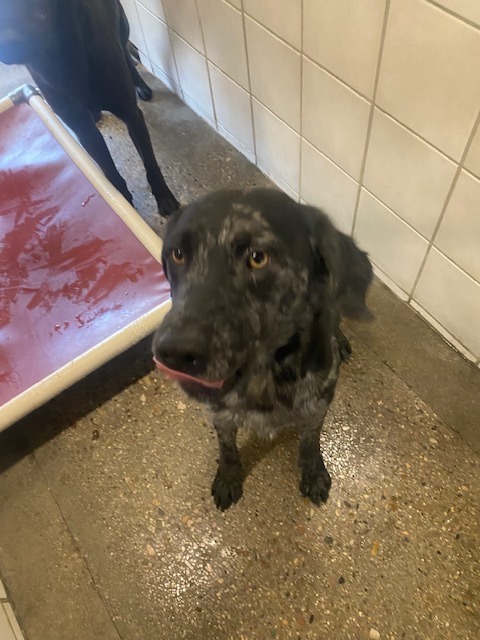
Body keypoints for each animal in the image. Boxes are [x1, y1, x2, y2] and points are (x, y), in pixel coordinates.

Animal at [0, 0, 178, 218]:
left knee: (125, 49)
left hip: (122, 25)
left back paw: (139, 84)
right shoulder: (83, 130)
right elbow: (109, 171)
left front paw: (164, 197)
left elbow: (150, 163)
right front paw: (122, 205)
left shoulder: (132, 116)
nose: (7, 45)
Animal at [152, 189, 374, 510]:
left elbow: (309, 442)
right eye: (177, 254)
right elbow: (227, 448)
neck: (265, 377)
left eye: (258, 258)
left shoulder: (318, 407)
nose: (173, 352)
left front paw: (313, 473)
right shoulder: (220, 415)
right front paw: (228, 475)